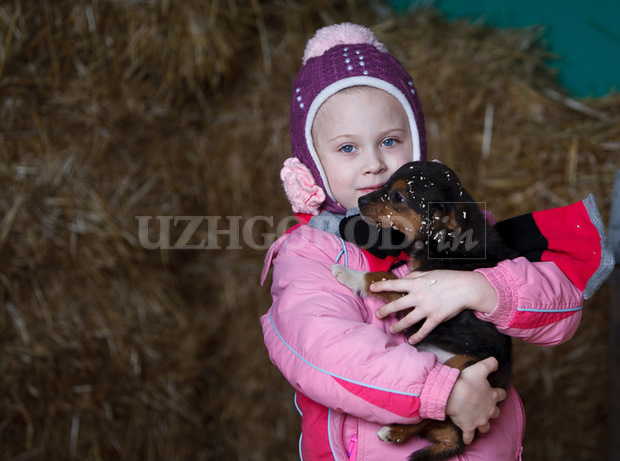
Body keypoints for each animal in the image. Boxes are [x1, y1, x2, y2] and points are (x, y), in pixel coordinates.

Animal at [332, 161, 516, 460]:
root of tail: (458, 440)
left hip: (463, 366)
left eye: (398, 197)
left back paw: (393, 431)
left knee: (433, 410)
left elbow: (380, 276)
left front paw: (347, 274)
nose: (360, 201)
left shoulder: (417, 291)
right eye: (387, 183)